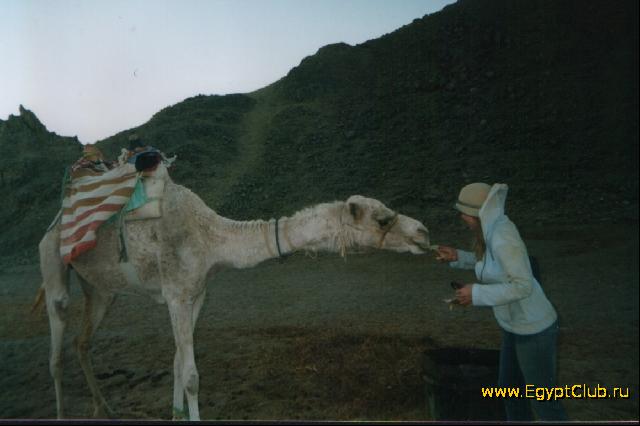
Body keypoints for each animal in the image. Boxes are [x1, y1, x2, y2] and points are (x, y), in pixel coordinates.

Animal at [34, 165, 431, 420]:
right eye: (382, 219)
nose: (423, 232)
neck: (212, 239)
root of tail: (56, 220)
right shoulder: (176, 293)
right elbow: (192, 376)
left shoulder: (197, 294)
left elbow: (177, 364)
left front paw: (175, 414)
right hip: (52, 259)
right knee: (56, 343)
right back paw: (61, 412)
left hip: (102, 290)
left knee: (82, 341)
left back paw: (104, 408)